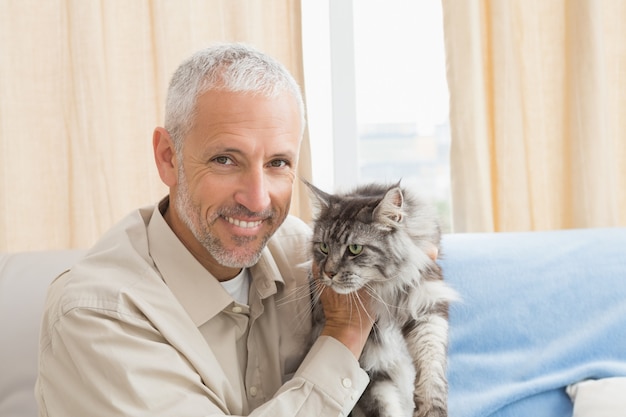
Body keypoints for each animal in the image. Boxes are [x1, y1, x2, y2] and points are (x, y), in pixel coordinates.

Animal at [304, 181, 456, 416]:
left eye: (354, 249)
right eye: (324, 247)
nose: (329, 273)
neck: (383, 290)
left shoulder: (426, 303)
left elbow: (431, 364)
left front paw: (431, 408)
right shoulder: (369, 369)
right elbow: (385, 408)